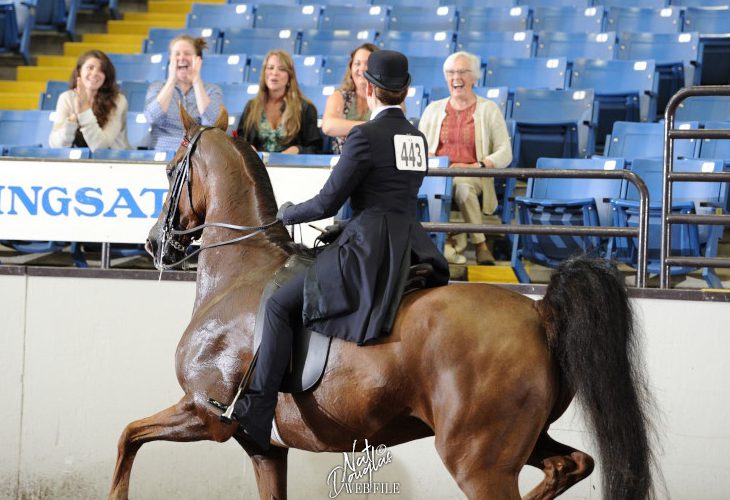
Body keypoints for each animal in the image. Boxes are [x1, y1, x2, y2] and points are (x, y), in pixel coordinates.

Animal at [109, 106, 656, 500]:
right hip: (525, 440)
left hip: (479, 460)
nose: (155, 244)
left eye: (170, 170)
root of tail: (539, 311)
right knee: (572, 463)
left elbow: (127, 436)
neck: (239, 272)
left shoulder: (206, 415)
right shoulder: (266, 449)